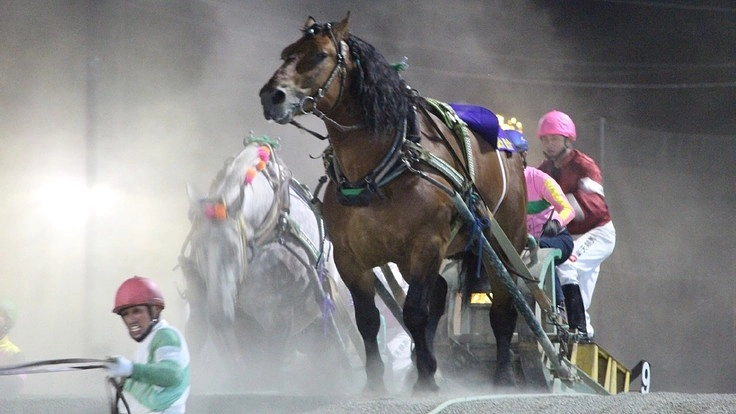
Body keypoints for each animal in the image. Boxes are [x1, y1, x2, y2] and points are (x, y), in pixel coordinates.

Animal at [177, 134, 361, 393]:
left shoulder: (279, 319)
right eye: (199, 248)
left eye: (234, 249)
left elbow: (268, 371)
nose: (221, 315)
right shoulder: (200, 309)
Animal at [259, 14, 528, 393]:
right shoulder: (349, 257)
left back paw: (502, 375)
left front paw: (426, 377)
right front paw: (377, 380)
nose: (272, 96)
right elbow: (369, 318)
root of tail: (510, 142)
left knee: (504, 308)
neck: (378, 171)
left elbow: (414, 311)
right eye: (287, 53)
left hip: (502, 245)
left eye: (320, 55)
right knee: (440, 293)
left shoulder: (427, 244)